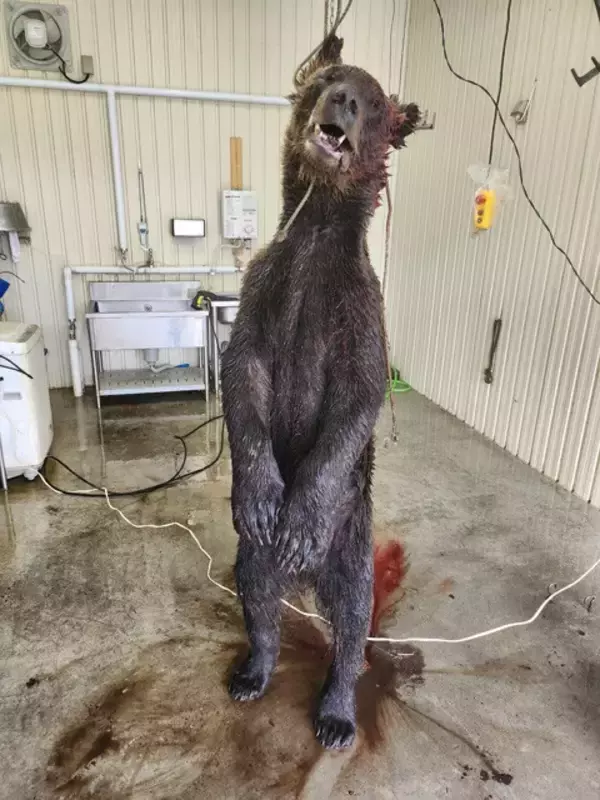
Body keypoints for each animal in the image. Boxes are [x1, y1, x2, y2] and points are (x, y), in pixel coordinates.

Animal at [221, 34, 419, 750]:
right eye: (328, 78)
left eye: (376, 101)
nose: (343, 102)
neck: (317, 233)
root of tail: (303, 581)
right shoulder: (266, 289)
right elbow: (243, 371)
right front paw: (261, 496)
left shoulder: (357, 310)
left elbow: (356, 400)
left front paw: (299, 517)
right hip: (254, 559)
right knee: (256, 588)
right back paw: (253, 669)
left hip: (351, 541)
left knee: (353, 615)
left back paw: (337, 712)